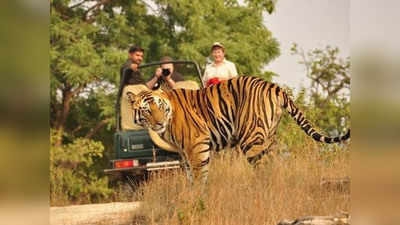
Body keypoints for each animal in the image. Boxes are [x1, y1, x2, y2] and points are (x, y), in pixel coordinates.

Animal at [127, 75, 350, 183]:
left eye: (158, 106)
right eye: (146, 110)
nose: (158, 123)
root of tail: (273, 86)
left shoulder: (196, 145)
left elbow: (199, 176)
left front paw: (198, 199)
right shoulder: (184, 153)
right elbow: (190, 176)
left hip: (251, 140)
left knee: (264, 169)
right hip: (268, 137)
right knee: (274, 166)